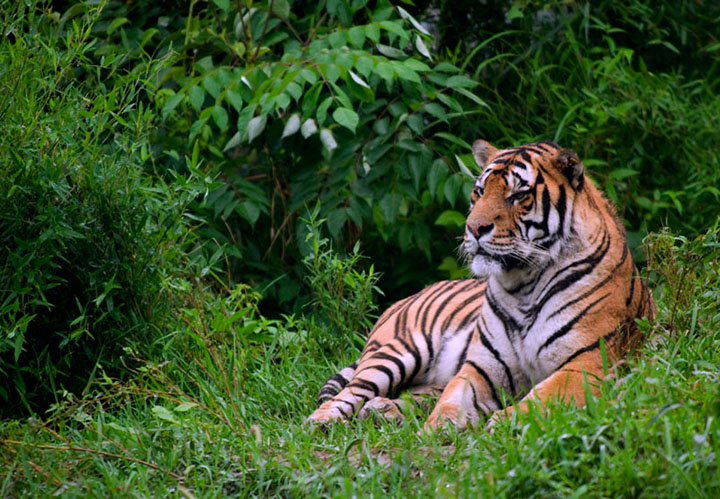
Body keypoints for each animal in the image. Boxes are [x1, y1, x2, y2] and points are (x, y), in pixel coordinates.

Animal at [306, 140, 656, 430]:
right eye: (479, 191)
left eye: (519, 195)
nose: (473, 228)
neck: (524, 284)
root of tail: (403, 299)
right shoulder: (481, 367)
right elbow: (452, 398)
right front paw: (439, 427)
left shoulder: (588, 361)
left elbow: (542, 397)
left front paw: (506, 422)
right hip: (399, 349)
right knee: (352, 391)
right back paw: (324, 420)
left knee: (416, 392)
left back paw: (382, 411)